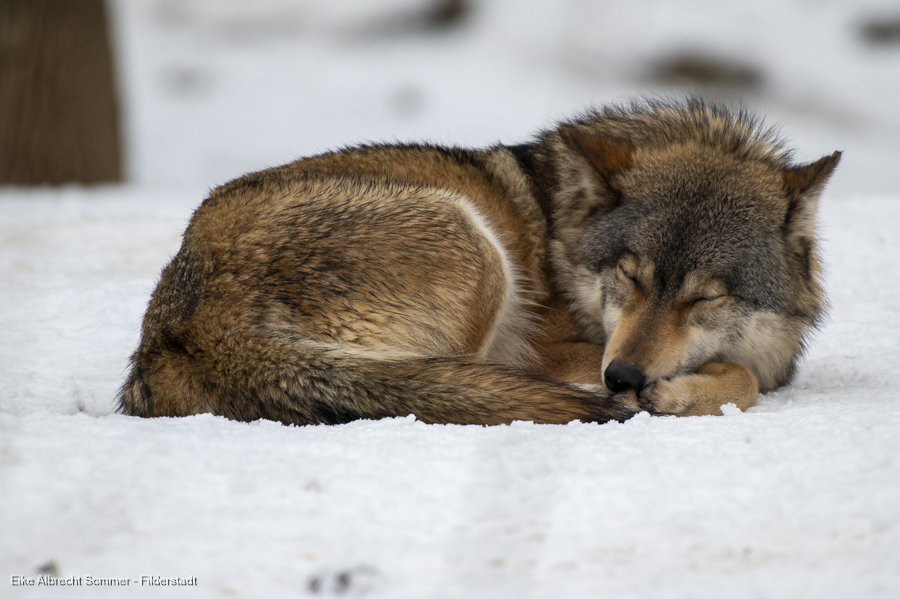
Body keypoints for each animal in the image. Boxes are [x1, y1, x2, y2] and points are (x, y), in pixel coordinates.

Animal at [119, 99, 840, 425]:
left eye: (704, 297)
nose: (623, 374)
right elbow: (742, 376)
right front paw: (678, 393)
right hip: (472, 243)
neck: (557, 239)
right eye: (629, 278)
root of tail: (181, 325)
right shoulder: (552, 348)